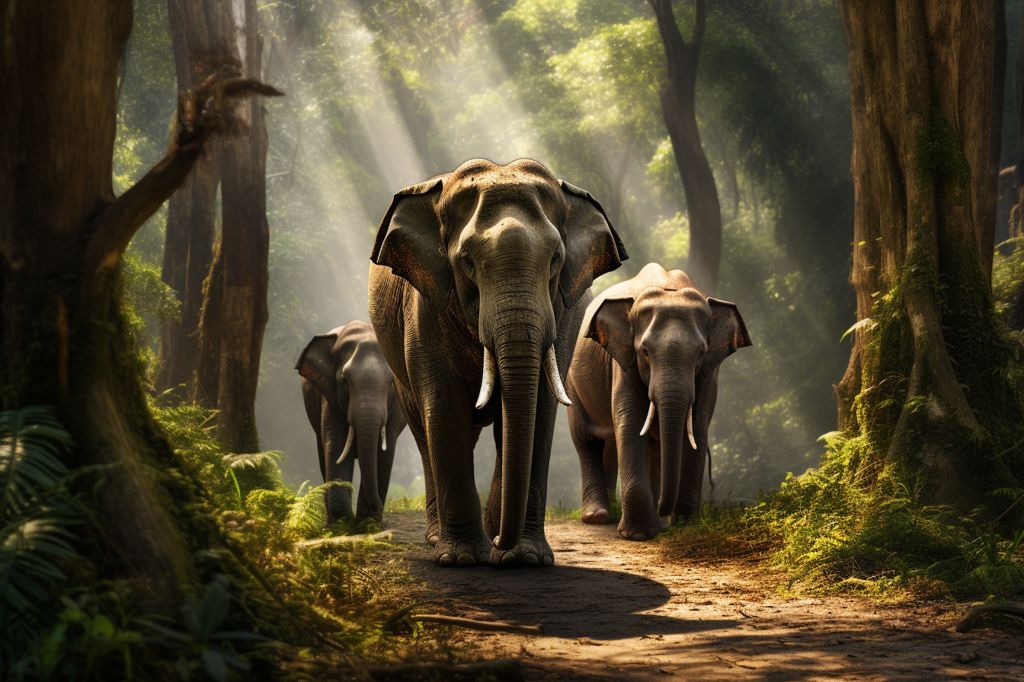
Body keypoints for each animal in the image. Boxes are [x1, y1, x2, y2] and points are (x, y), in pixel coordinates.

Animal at [296, 320, 407, 524]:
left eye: (391, 383)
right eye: (345, 381)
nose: (379, 508)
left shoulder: (395, 410)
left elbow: (384, 452)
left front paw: (367, 523)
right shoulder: (329, 396)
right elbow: (335, 445)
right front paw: (343, 523)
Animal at [368, 158, 627, 567]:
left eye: (556, 259)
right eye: (466, 262)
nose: (501, 542)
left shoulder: (562, 315)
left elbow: (537, 408)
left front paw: (524, 559)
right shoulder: (424, 308)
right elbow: (445, 408)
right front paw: (461, 559)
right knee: (424, 430)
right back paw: (439, 538)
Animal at [566, 263, 751, 540]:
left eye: (700, 353)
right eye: (645, 351)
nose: (668, 519)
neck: (668, 288)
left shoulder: (709, 372)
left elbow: (697, 425)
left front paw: (685, 526)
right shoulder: (624, 361)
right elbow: (631, 422)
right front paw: (638, 535)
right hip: (572, 384)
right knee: (587, 441)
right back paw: (598, 517)